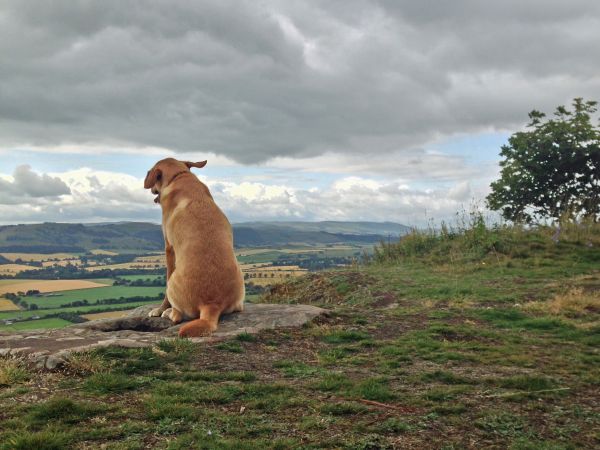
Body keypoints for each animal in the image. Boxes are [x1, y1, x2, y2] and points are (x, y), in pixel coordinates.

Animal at [144, 156, 245, 336]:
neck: (179, 176)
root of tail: (212, 304)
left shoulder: (169, 248)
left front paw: (160, 309)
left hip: (174, 281)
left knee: (177, 315)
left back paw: (169, 312)